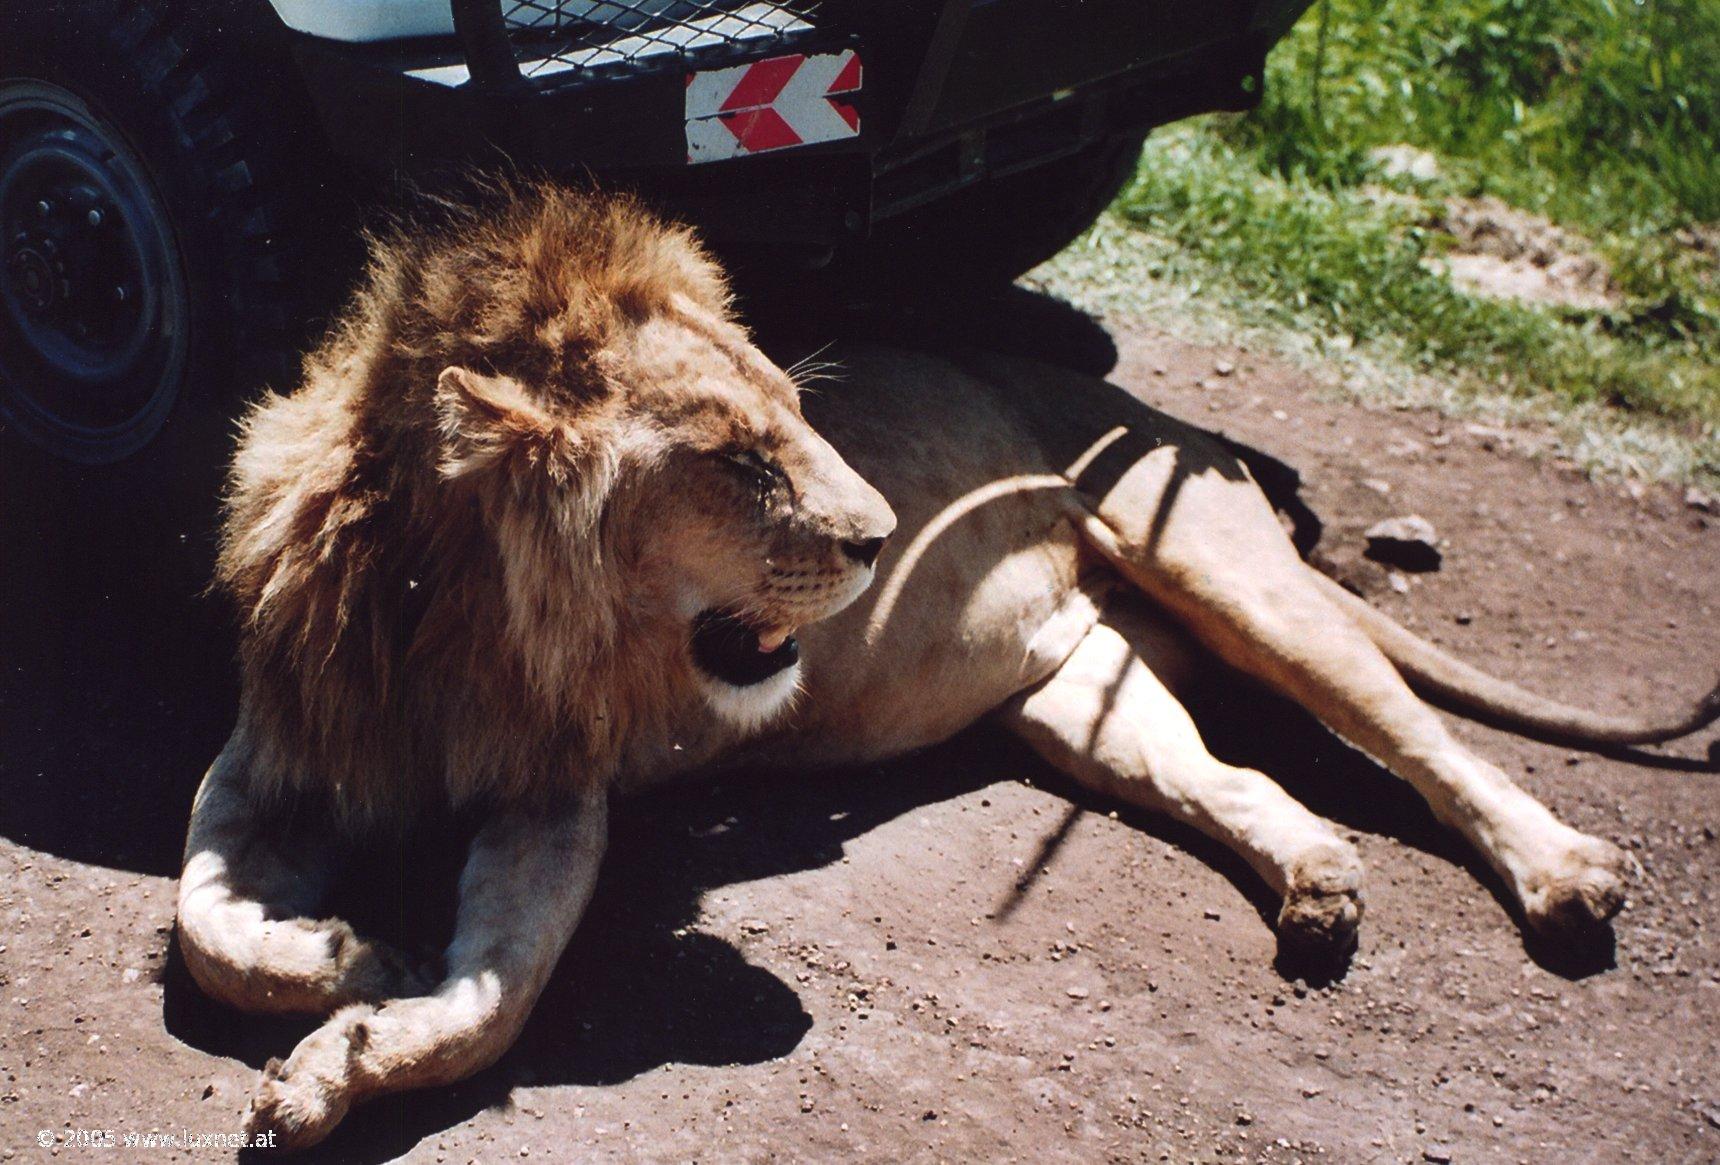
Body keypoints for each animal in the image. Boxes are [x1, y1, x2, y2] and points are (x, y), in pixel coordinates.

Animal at [178, 184, 1720, 1142]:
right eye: (738, 462)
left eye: (803, 417)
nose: (881, 539)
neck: (443, 616)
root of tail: (1156, 412)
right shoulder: (278, 744)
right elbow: (207, 926)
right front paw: (335, 956)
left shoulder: (556, 797)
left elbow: (500, 1003)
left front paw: (347, 1046)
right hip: (1079, 696)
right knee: (1232, 778)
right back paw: (1317, 882)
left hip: (1228, 568)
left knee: (1427, 745)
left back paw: (1563, 875)